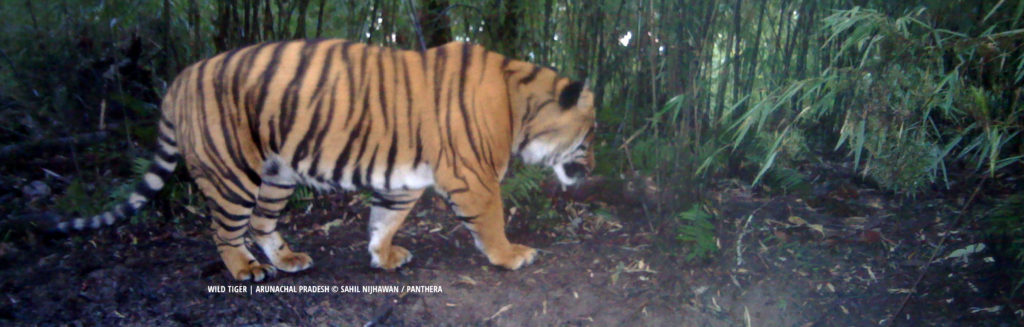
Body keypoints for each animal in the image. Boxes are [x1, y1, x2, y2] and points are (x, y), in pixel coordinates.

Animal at [56, 39, 598, 282]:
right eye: (590, 131)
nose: (593, 167)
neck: (519, 104)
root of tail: (180, 78)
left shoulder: (403, 180)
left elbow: (385, 220)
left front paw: (382, 256)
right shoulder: (473, 178)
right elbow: (491, 221)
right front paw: (511, 255)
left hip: (276, 173)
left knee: (261, 223)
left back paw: (287, 259)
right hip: (233, 173)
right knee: (225, 229)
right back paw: (245, 269)